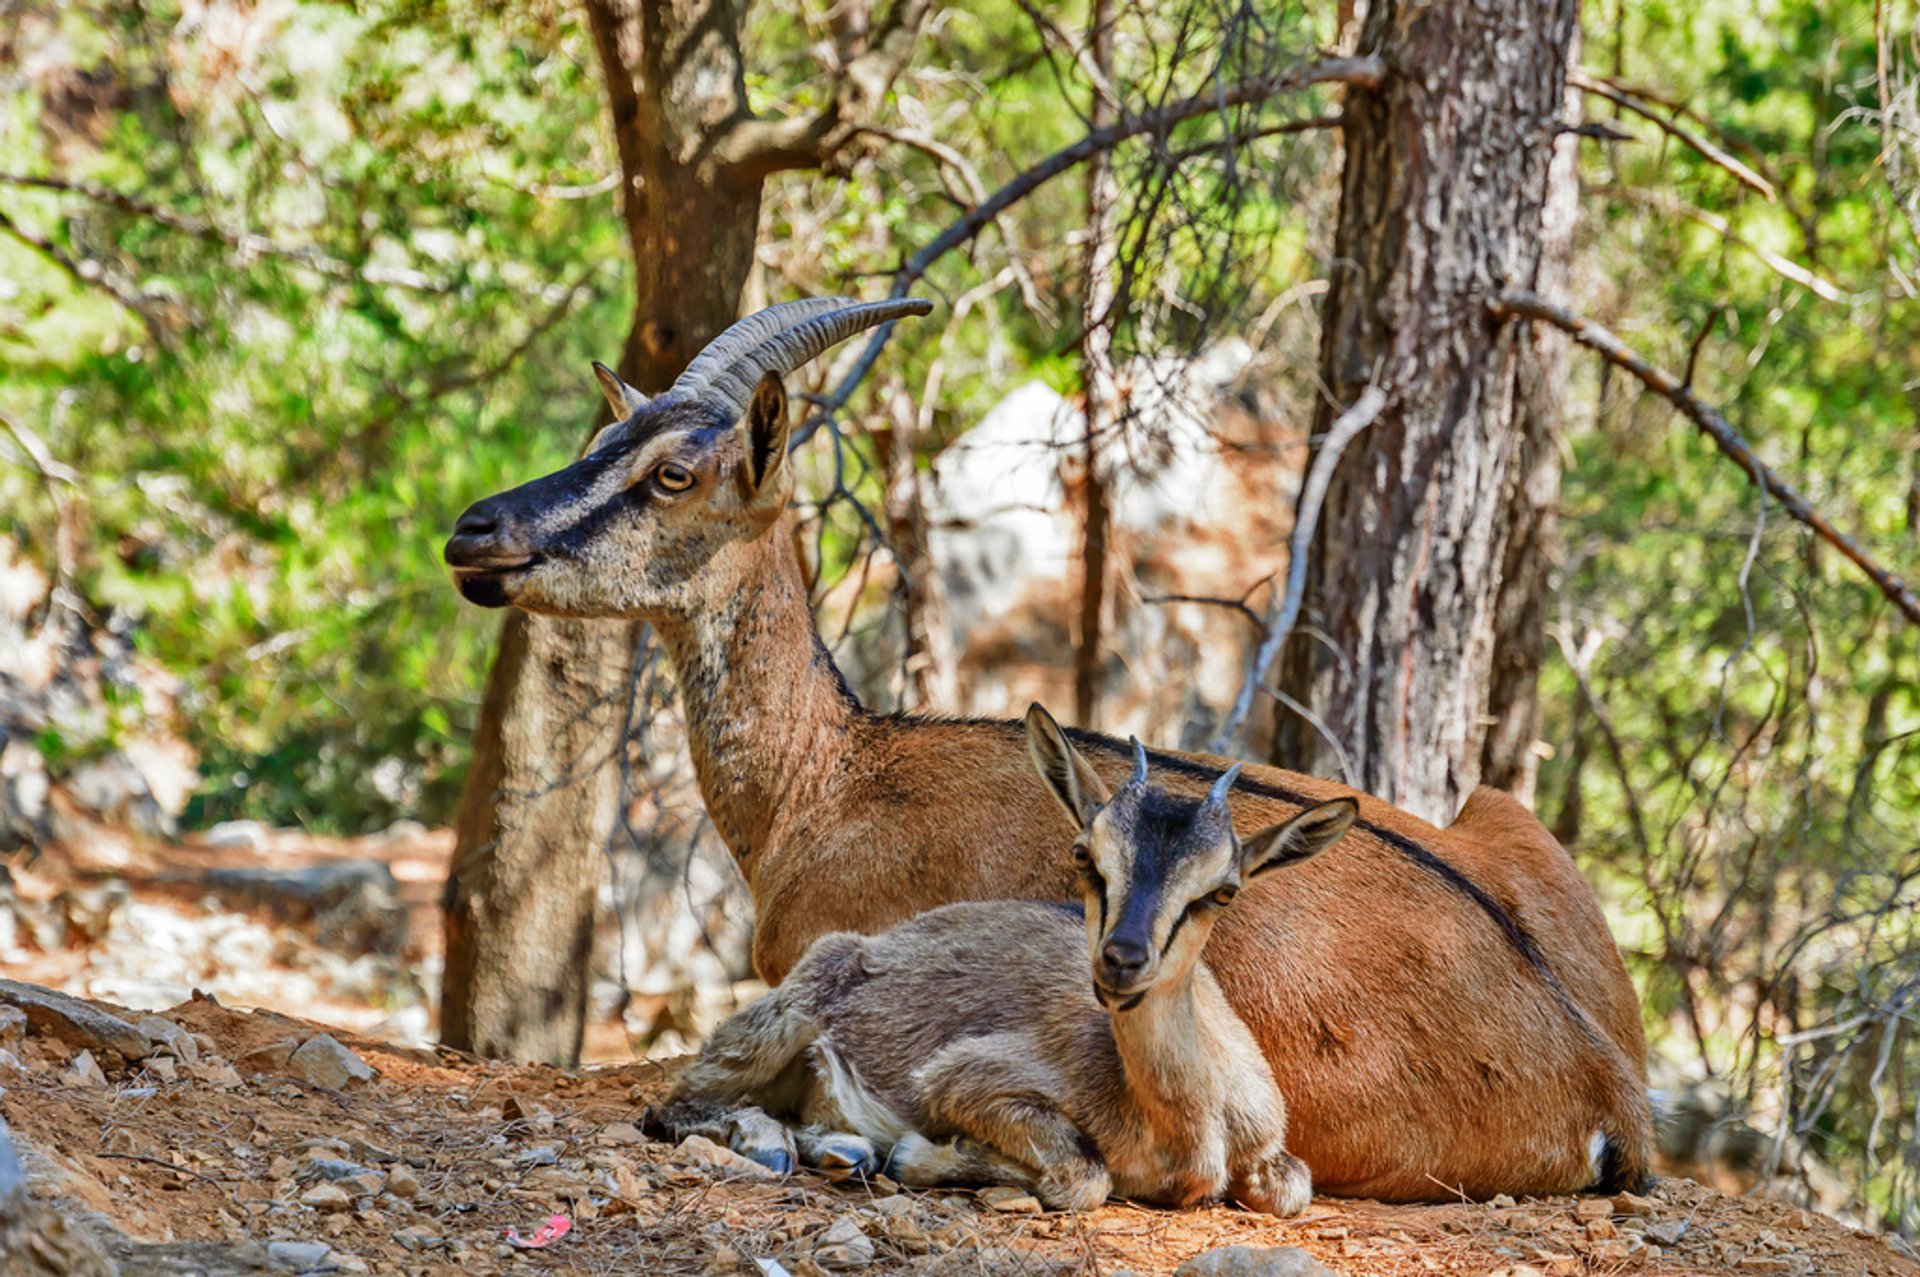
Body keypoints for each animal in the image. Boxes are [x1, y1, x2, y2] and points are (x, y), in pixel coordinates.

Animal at [445, 295, 1651, 1198]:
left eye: (672, 474)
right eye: (606, 440)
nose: (474, 531)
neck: (832, 776)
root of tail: (1604, 1087)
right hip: (1498, 804)